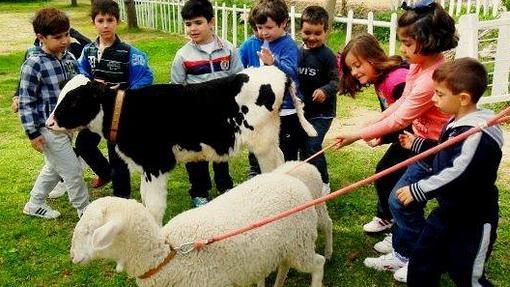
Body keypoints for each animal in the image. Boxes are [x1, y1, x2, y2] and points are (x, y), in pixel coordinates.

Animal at [46, 66, 314, 224]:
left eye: (73, 100)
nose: (48, 122)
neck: (125, 112)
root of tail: (277, 72)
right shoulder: (145, 166)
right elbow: (145, 199)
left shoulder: (156, 163)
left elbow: (154, 205)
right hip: (269, 140)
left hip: (262, 143)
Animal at [69, 168, 324, 286]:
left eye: (90, 231)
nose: (72, 257)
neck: (165, 257)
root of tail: (292, 180)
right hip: (285, 247)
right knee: (284, 265)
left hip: (301, 242)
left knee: (318, 263)